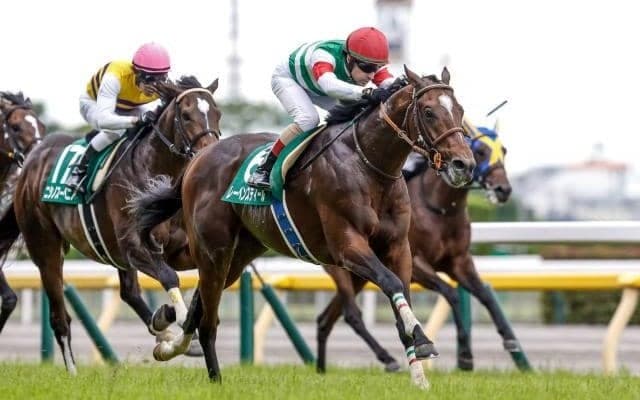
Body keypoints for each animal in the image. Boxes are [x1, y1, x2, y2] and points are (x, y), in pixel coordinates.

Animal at [0, 76, 220, 374]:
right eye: (186, 115)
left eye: (217, 113)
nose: (209, 152)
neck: (153, 171)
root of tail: (32, 162)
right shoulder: (134, 247)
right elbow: (169, 277)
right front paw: (182, 327)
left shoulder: (177, 250)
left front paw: (171, 328)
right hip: (46, 249)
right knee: (60, 318)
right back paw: (73, 372)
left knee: (129, 293)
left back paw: (161, 329)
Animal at [130, 66, 476, 389]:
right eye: (429, 112)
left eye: (459, 109)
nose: (464, 165)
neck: (368, 165)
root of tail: (198, 160)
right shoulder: (347, 246)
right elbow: (391, 284)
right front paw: (423, 340)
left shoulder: (398, 247)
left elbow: (401, 291)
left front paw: (420, 375)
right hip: (213, 249)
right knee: (208, 320)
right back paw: (212, 378)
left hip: (237, 255)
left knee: (200, 305)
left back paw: (170, 346)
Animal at [317, 124, 516, 373]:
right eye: (480, 151)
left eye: (505, 151)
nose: (503, 189)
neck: (441, 209)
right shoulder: (416, 264)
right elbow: (451, 293)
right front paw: (464, 355)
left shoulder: (459, 261)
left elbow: (485, 293)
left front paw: (509, 338)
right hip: (343, 265)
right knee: (352, 314)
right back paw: (388, 359)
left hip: (359, 274)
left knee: (325, 320)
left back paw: (320, 369)